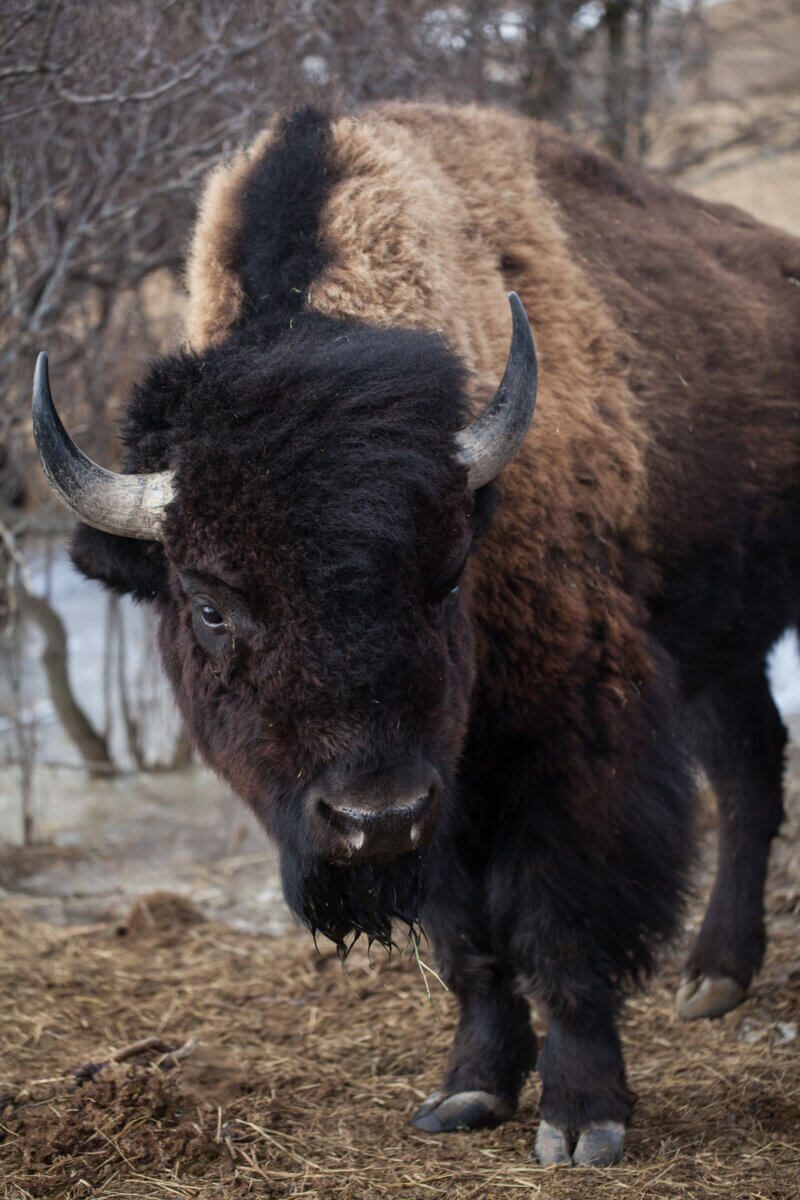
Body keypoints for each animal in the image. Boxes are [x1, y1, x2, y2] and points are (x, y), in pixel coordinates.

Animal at [31, 100, 800, 1161]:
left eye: (445, 579)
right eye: (210, 602)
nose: (375, 815)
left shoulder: (568, 733)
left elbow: (560, 923)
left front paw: (583, 1119)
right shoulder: (446, 795)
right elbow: (468, 941)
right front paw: (468, 1091)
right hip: (718, 642)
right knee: (749, 762)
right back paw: (715, 978)